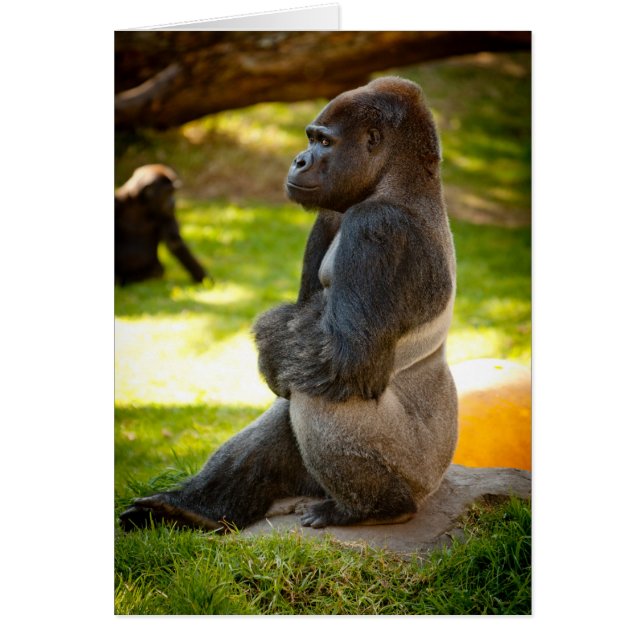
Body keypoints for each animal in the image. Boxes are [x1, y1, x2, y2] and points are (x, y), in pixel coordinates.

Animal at [120, 76, 458, 532]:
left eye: (324, 142)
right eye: (310, 138)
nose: (299, 161)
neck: (402, 183)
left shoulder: (379, 230)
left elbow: (342, 355)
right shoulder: (330, 214)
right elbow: (297, 345)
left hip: (418, 474)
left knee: (319, 391)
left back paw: (374, 509)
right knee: (294, 389)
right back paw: (193, 507)